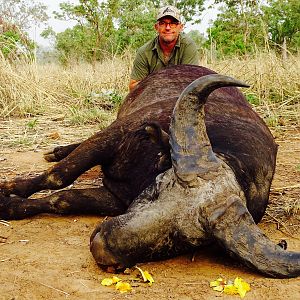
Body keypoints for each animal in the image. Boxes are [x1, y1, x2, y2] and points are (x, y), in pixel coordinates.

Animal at [0, 64, 300, 278]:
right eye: (158, 188)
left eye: (182, 239)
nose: (102, 247)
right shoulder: (112, 136)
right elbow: (59, 176)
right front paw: (8, 191)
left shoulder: (115, 198)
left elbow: (62, 200)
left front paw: (12, 206)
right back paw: (57, 151)